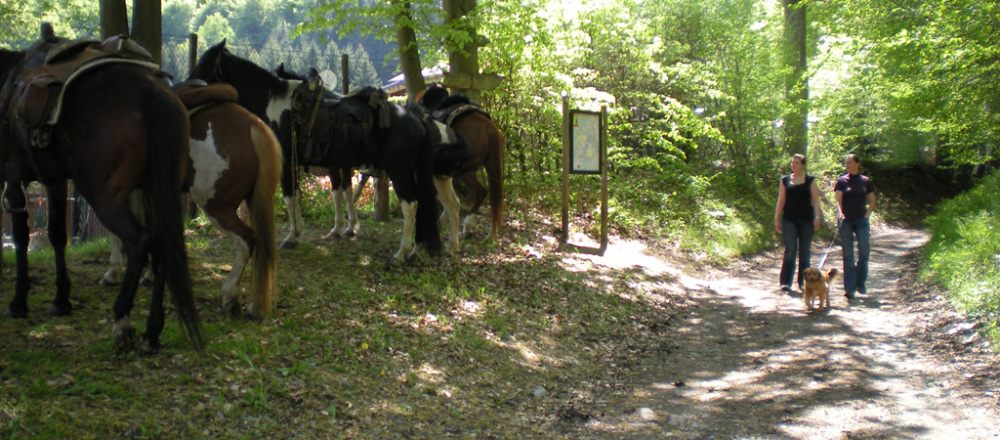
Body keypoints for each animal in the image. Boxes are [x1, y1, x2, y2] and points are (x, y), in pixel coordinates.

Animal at [0, 24, 203, 354]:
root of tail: (153, 92)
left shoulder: (14, 178)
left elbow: (20, 236)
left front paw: (18, 301)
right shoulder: (55, 180)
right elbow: (56, 234)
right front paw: (61, 300)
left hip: (103, 195)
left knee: (139, 240)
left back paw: (122, 318)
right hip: (156, 189)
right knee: (162, 245)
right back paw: (151, 331)